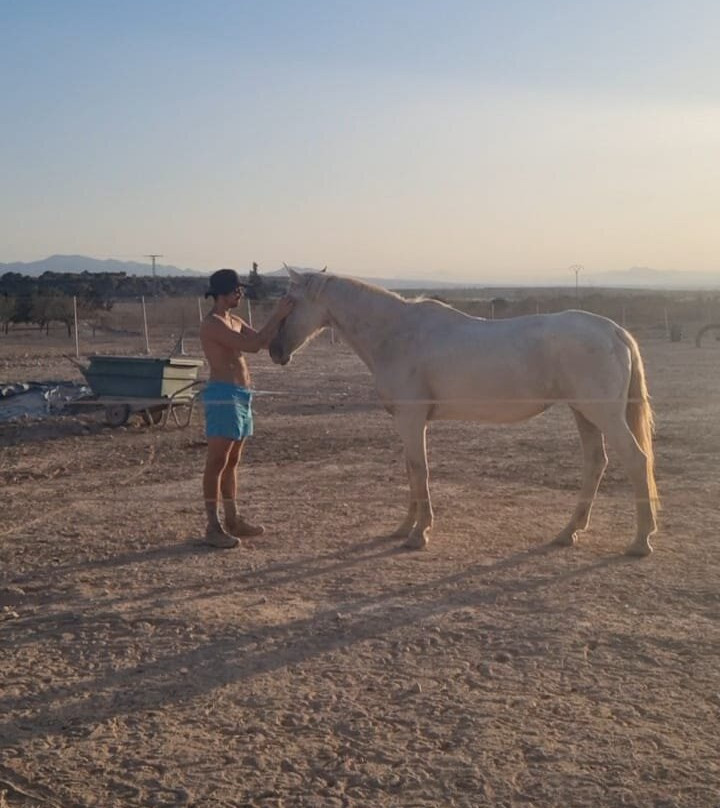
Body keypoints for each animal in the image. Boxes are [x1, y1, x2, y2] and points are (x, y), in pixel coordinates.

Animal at [269, 269, 659, 557]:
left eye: (290, 301)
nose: (274, 351)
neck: (397, 333)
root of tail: (614, 330)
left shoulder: (411, 420)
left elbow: (419, 470)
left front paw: (418, 534)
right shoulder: (407, 423)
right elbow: (411, 471)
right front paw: (404, 528)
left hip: (603, 414)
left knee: (636, 460)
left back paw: (641, 541)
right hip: (584, 413)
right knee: (596, 463)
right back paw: (568, 532)